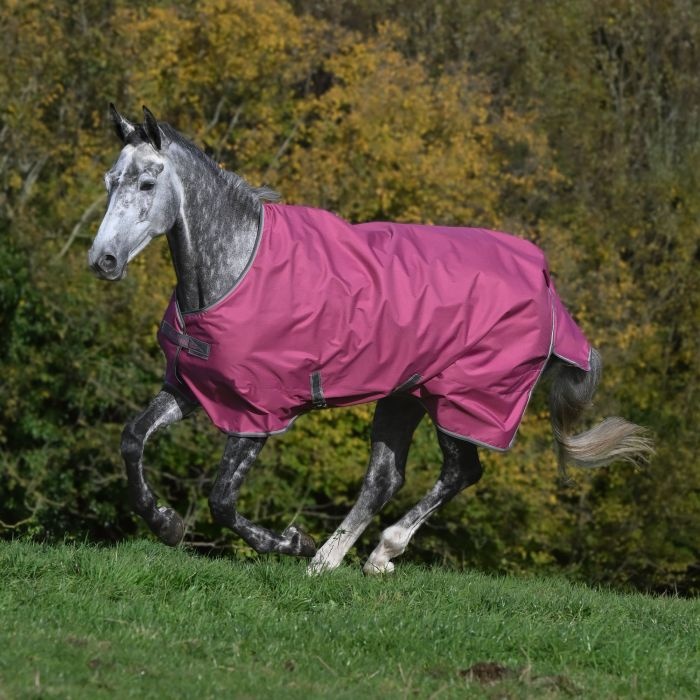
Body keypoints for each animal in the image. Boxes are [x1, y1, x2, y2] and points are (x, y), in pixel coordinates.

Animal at [88, 105, 653, 574]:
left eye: (147, 182)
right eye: (110, 180)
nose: (103, 261)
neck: (235, 268)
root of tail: (547, 287)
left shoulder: (257, 413)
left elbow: (222, 500)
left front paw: (288, 541)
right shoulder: (192, 389)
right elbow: (133, 438)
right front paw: (166, 523)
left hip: (460, 400)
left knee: (460, 472)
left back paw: (369, 552)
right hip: (405, 395)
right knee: (386, 478)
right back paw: (334, 560)